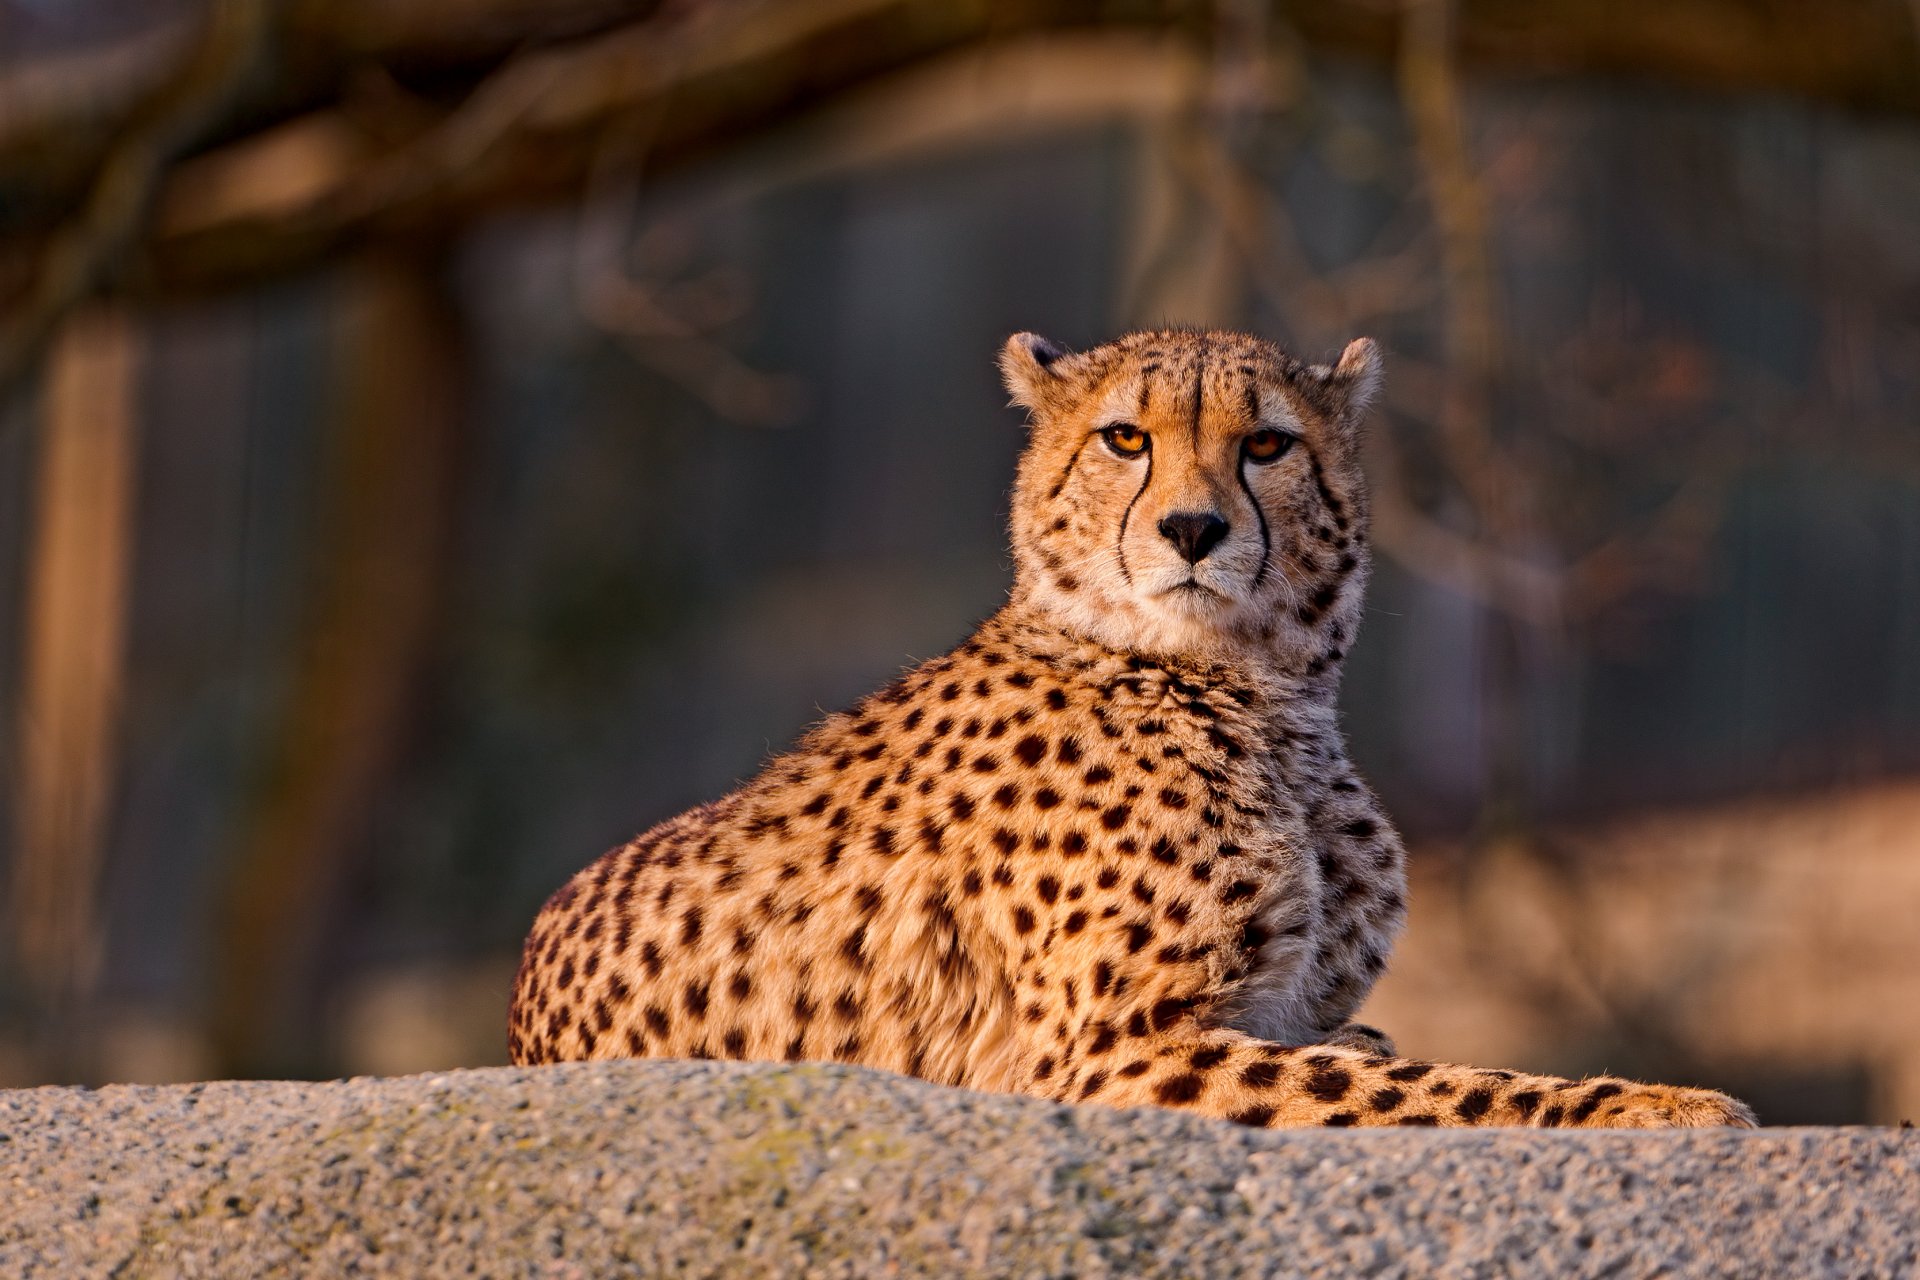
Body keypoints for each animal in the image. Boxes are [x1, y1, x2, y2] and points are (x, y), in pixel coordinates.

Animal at [506, 330, 1758, 1128]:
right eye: (1123, 439)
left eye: (1267, 444)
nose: (1194, 529)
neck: (1260, 698)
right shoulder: (1109, 1053)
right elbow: (1442, 1091)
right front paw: (1654, 1101)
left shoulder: (1270, 1014)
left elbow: (1376, 1053)